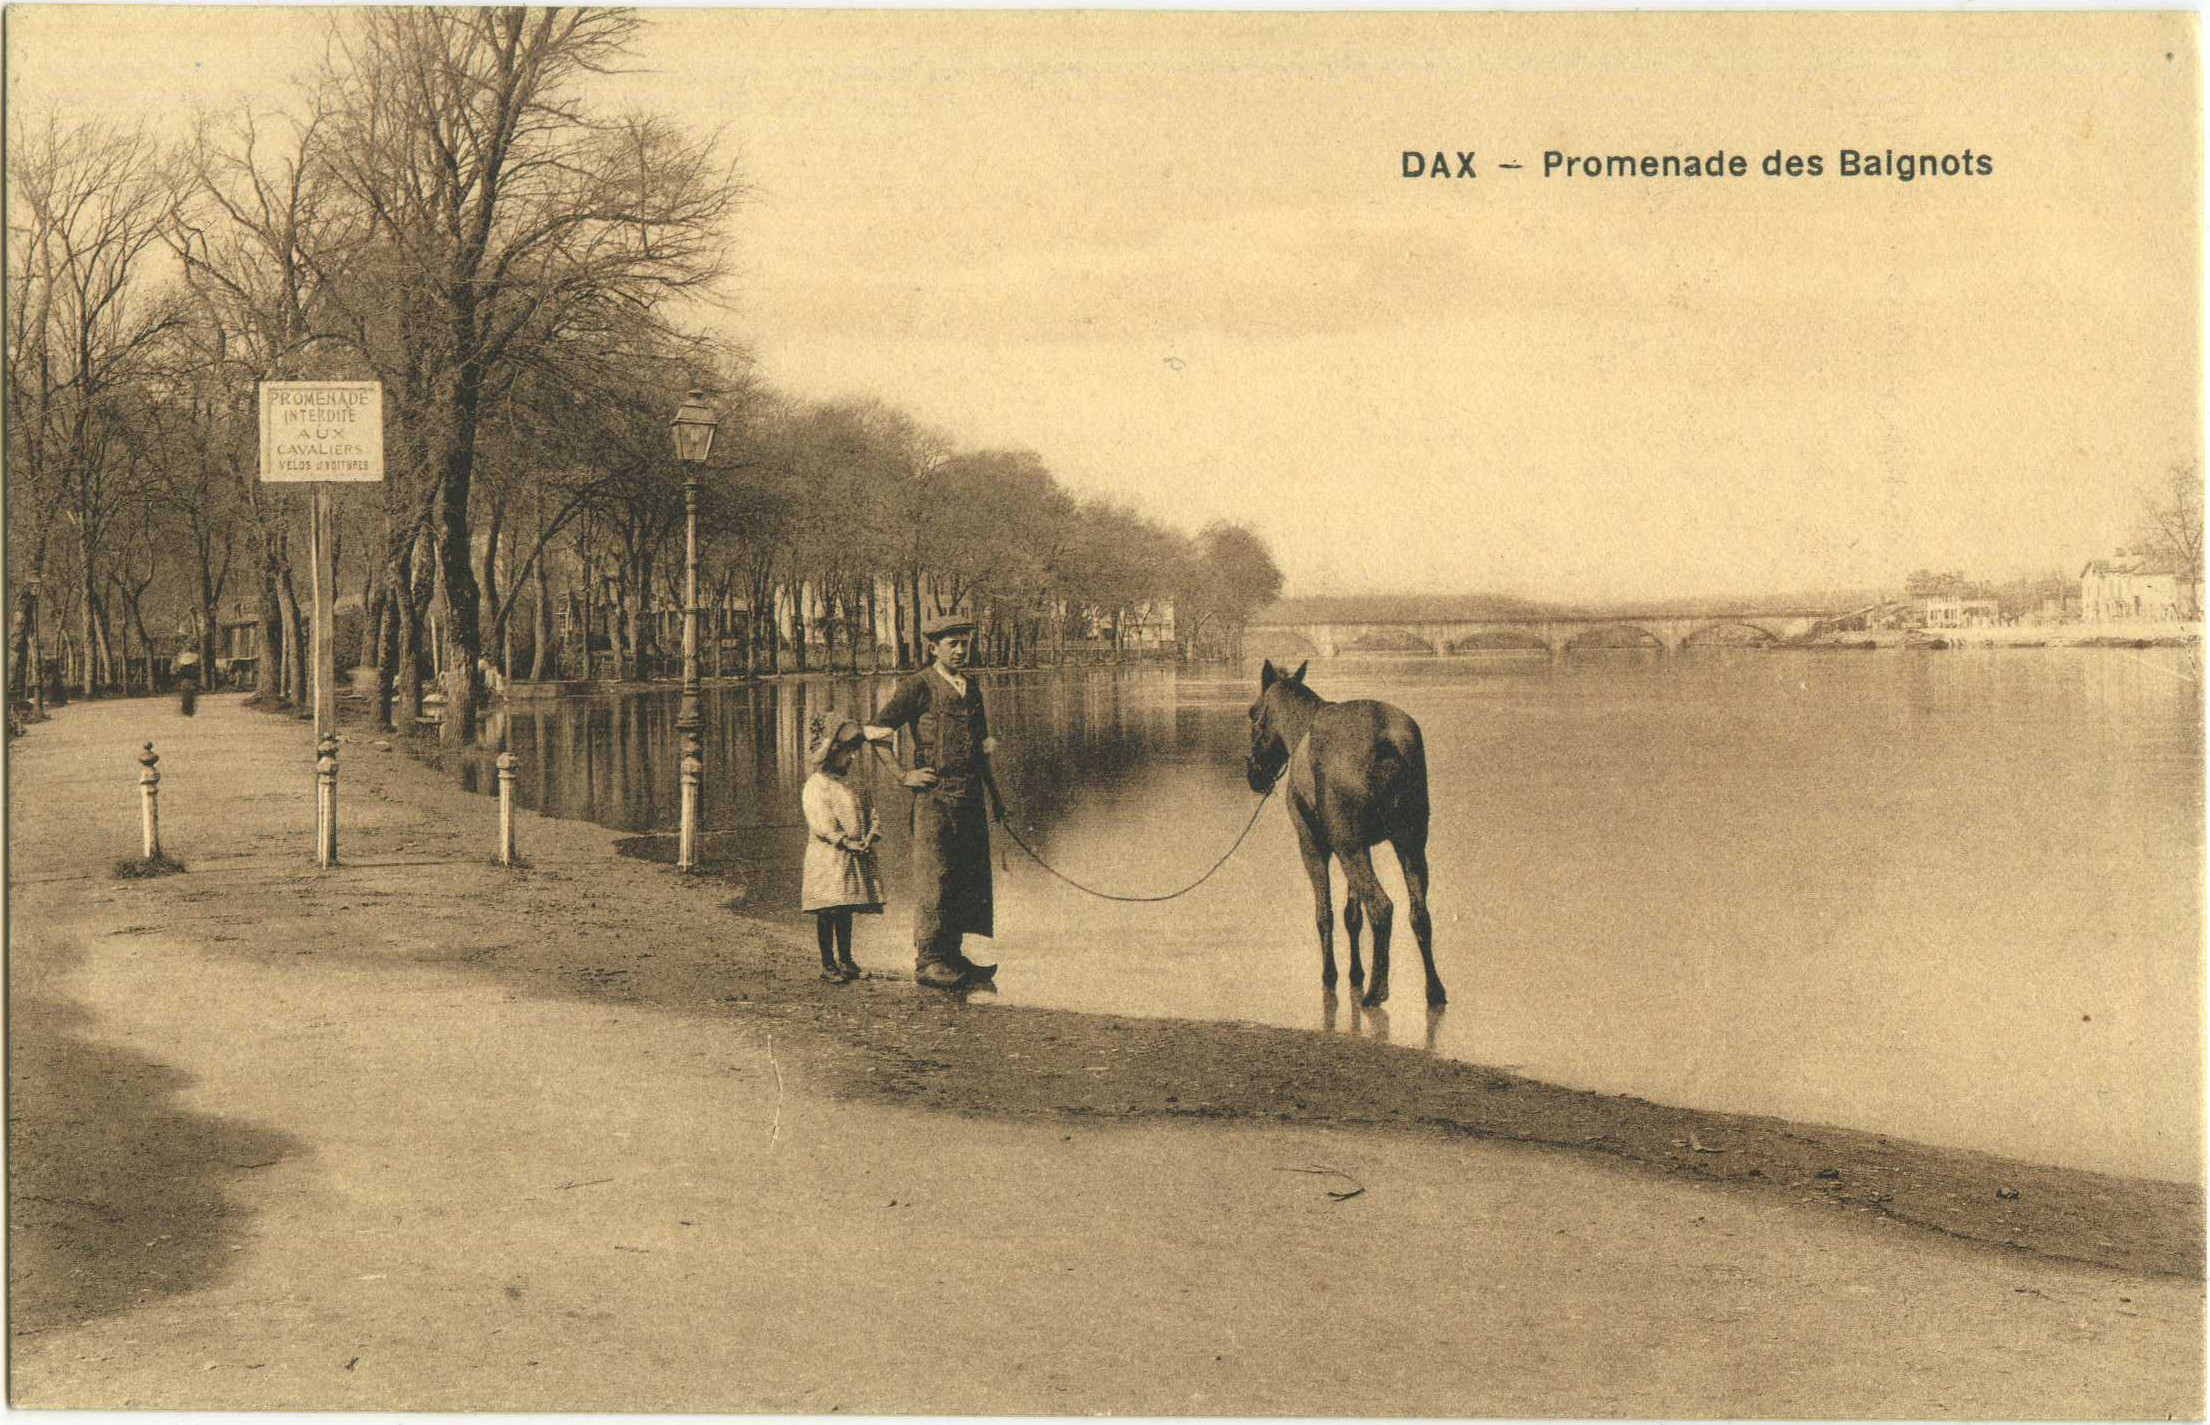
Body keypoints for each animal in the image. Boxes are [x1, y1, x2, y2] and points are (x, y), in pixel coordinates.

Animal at [1246, 662, 1449, 1007]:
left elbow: (1324, 913)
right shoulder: (1359, 845)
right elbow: (1352, 915)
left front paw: (1331, 975)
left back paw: (1377, 991)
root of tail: (1386, 741)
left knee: (1381, 906)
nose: (1254, 775)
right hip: (1409, 842)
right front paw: (1356, 972)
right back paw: (1434, 989)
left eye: (1252, 713)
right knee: (1419, 913)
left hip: (1351, 847)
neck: (1298, 728)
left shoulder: (1315, 845)